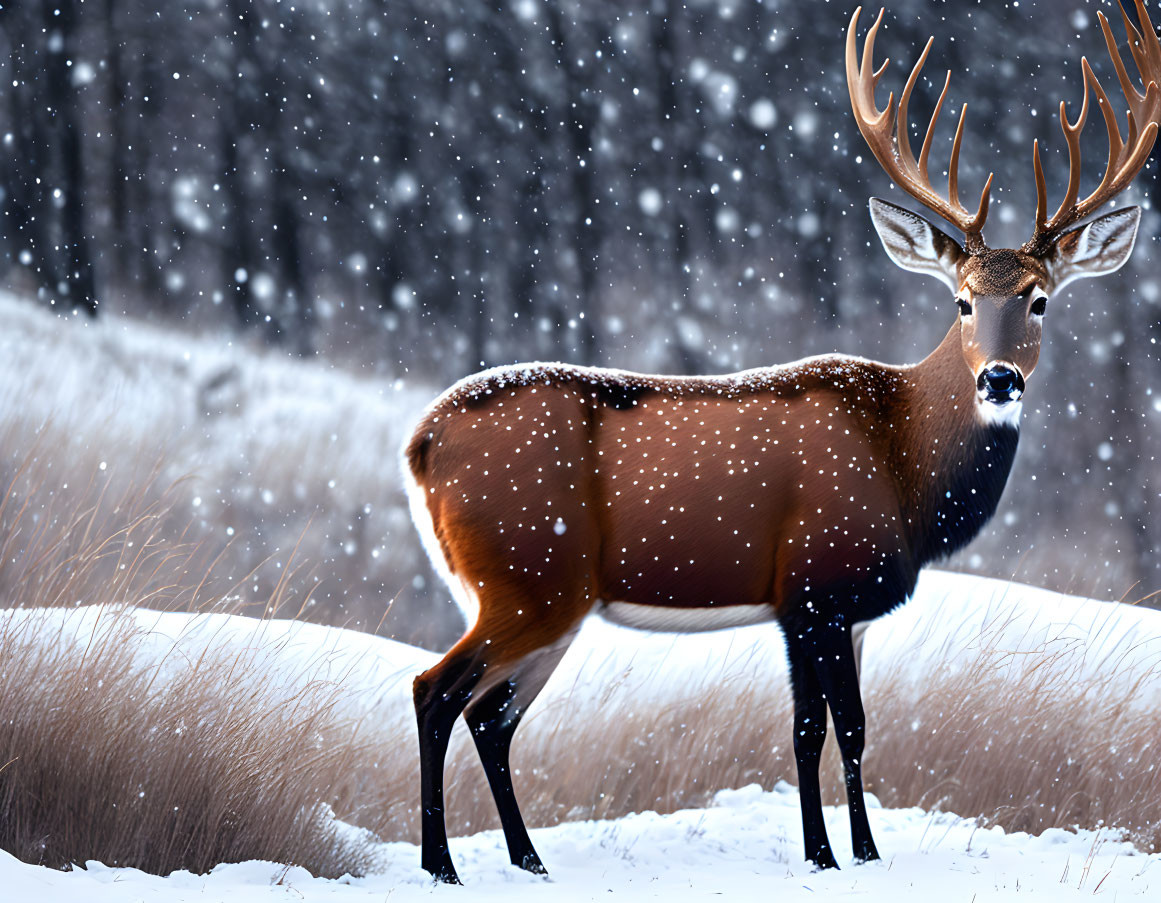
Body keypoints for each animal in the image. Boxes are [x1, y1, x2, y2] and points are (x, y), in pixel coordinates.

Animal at [401, 0, 1161, 877]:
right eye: (962, 300)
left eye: (1039, 299)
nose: (999, 378)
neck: (902, 463)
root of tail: (420, 444)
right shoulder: (812, 585)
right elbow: (826, 729)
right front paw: (838, 856)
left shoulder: (840, 609)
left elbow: (834, 733)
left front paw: (848, 853)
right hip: (526, 574)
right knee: (435, 690)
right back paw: (441, 863)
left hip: (549, 597)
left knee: (491, 715)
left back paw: (528, 860)